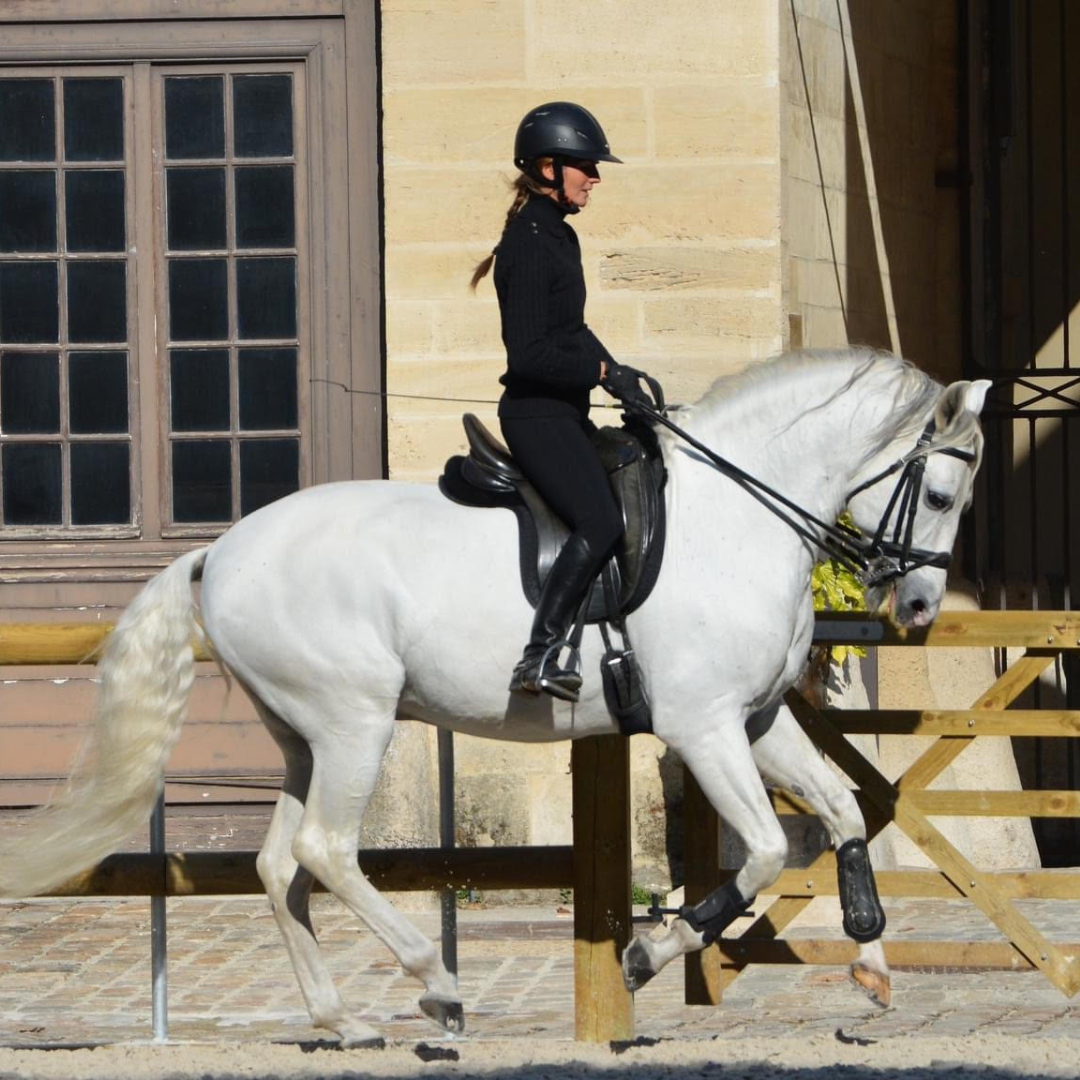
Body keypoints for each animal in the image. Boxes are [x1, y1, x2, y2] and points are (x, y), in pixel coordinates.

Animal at [0, 347, 990, 1046]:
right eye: (941, 492)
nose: (918, 607)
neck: (737, 518)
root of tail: (221, 549)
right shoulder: (702, 727)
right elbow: (765, 853)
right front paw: (647, 951)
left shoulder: (756, 717)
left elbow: (841, 813)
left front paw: (871, 962)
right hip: (356, 725)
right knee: (326, 850)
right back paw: (435, 985)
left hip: (303, 740)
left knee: (281, 865)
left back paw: (341, 1019)